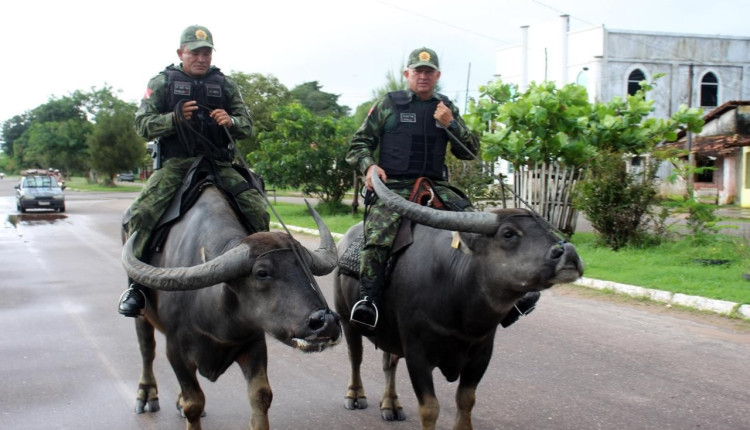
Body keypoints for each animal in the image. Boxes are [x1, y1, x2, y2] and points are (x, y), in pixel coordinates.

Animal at [122, 186, 340, 430]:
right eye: (262, 272)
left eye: (307, 269)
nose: (326, 321)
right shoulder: (176, 350)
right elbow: (193, 402)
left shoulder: (254, 343)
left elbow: (261, 395)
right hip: (142, 316)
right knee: (147, 350)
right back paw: (146, 395)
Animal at [336, 172, 588, 430]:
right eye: (508, 233)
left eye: (547, 229)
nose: (569, 253)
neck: (460, 309)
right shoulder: (417, 355)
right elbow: (430, 408)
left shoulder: (481, 355)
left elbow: (466, 400)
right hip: (347, 318)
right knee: (355, 356)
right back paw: (355, 395)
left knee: (389, 362)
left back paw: (391, 404)